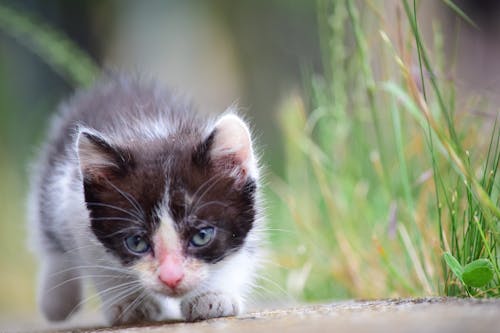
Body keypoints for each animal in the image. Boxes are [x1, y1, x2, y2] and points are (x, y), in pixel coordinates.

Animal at [27, 73, 264, 324]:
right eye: (136, 242)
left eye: (202, 236)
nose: (171, 278)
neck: (157, 134)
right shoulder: (73, 204)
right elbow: (98, 260)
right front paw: (129, 302)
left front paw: (213, 295)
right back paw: (56, 299)